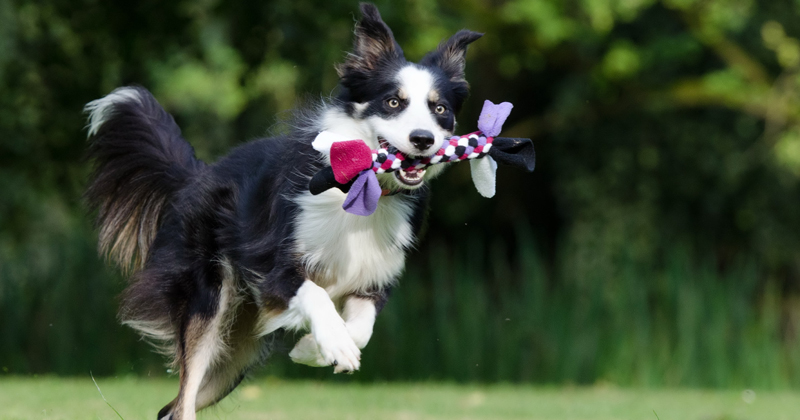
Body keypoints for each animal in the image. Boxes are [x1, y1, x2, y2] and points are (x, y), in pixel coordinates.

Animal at [84, 4, 482, 420]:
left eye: (440, 109)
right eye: (393, 102)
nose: (423, 139)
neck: (363, 189)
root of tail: (199, 174)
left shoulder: (373, 276)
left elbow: (361, 328)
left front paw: (314, 348)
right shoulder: (272, 265)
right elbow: (315, 294)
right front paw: (333, 344)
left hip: (236, 351)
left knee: (171, 408)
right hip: (209, 303)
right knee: (183, 401)